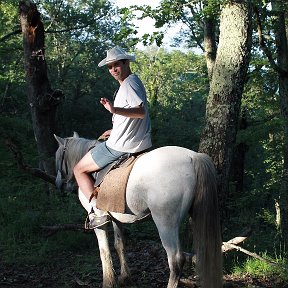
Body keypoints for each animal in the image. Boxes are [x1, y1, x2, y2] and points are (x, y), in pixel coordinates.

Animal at [54, 134, 223, 286]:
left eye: (58, 157)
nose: (59, 184)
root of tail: (193, 157)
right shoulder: (116, 217)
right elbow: (119, 245)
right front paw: (124, 278)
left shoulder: (98, 219)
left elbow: (104, 250)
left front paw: (108, 282)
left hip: (165, 223)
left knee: (176, 260)